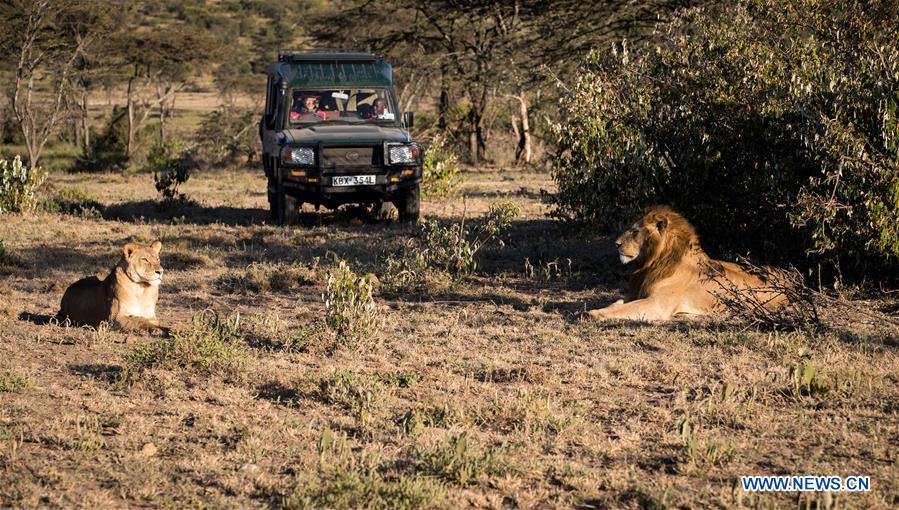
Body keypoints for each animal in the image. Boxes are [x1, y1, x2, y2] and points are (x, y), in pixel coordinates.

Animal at [588, 206, 784, 318]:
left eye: (635, 231)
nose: (616, 244)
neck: (651, 263)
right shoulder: (636, 293)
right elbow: (618, 303)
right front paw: (598, 310)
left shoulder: (658, 304)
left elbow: (625, 309)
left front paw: (596, 314)